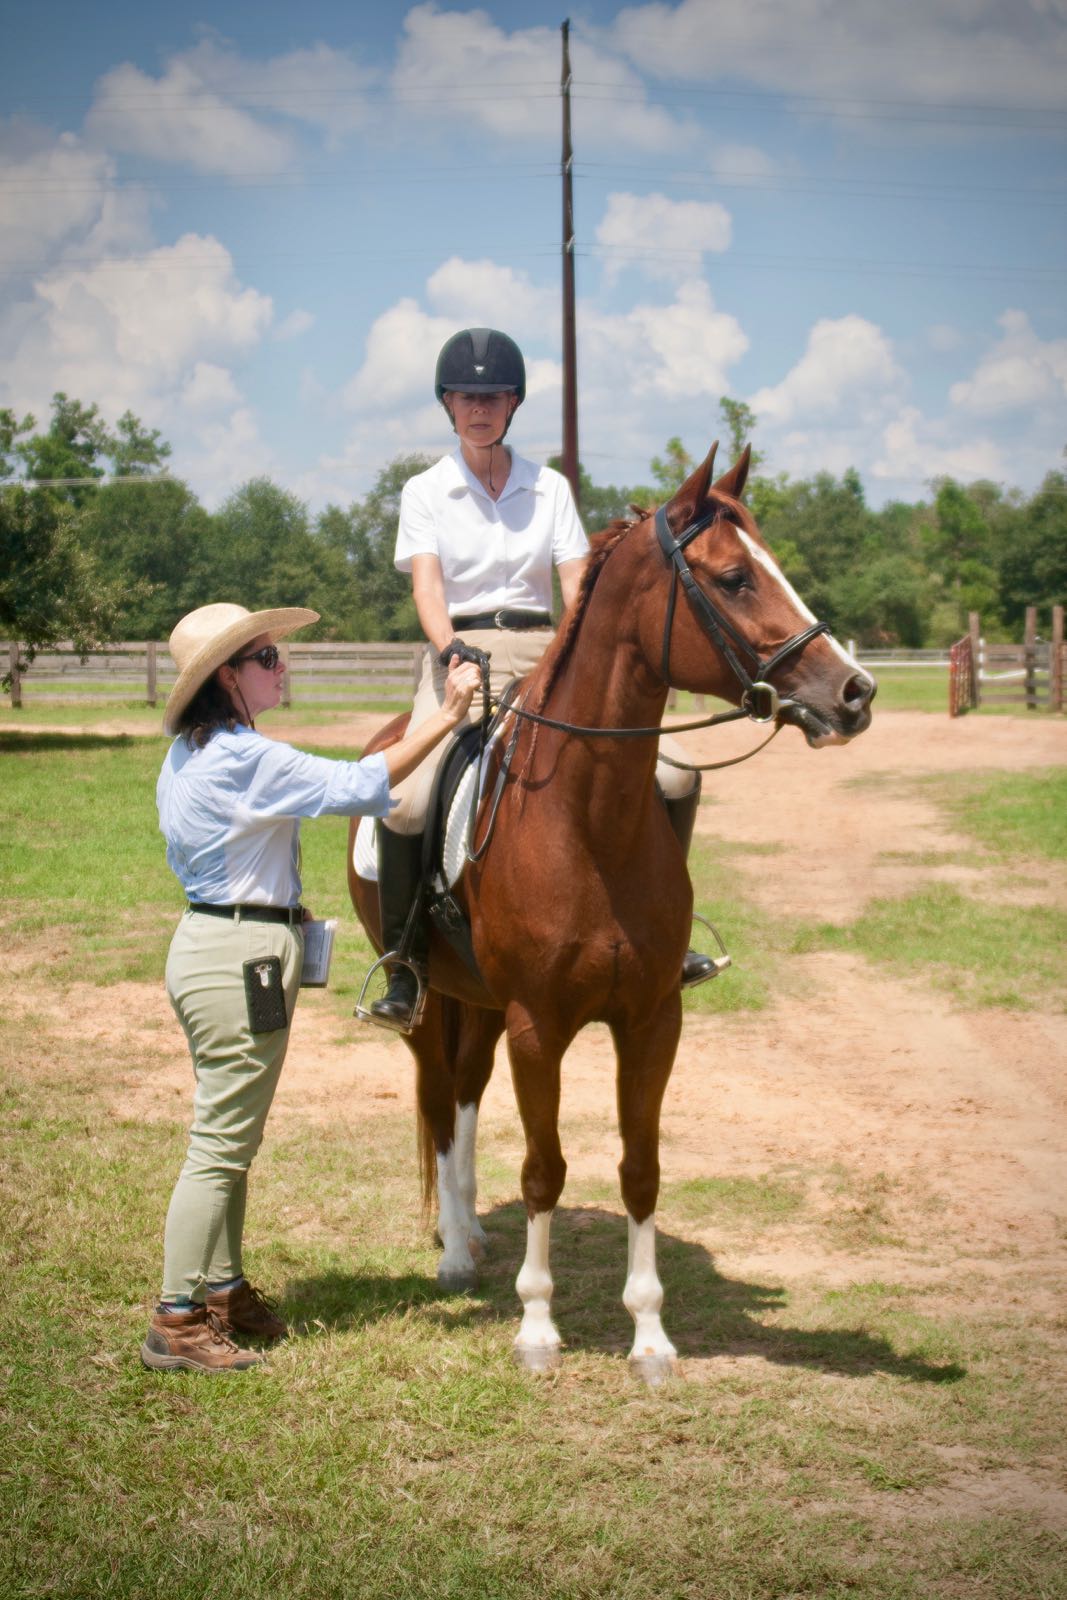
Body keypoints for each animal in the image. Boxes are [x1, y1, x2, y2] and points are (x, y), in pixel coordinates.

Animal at [348, 442, 875, 1381]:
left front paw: (651, 1336)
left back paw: (472, 1233)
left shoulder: (651, 1019)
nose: (854, 693)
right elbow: (544, 1169)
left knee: (467, 1094)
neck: (587, 818)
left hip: (480, 1003)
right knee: (440, 1100)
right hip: (430, 1000)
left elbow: (639, 1169)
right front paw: (536, 1329)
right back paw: (454, 1255)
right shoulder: (537, 1024)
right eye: (734, 578)